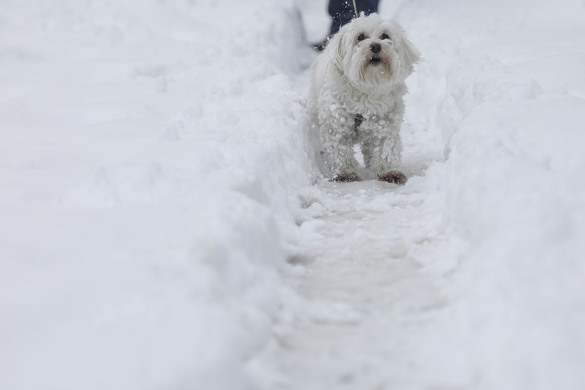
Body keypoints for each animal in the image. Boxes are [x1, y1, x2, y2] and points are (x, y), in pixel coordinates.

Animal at [308, 13, 418, 184]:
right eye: (360, 37)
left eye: (385, 36)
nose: (376, 46)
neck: (367, 90)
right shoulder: (335, 125)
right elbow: (339, 149)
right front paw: (345, 172)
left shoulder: (386, 123)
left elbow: (386, 147)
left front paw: (389, 171)